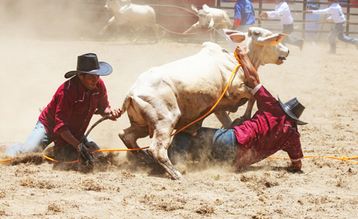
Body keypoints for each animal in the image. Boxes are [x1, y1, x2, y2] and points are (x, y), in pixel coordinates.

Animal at [119, 27, 288, 180]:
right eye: (273, 39)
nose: (287, 50)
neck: (237, 62)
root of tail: (131, 94)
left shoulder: (219, 107)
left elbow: (228, 122)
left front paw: (236, 122)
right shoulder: (236, 89)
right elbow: (253, 95)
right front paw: (244, 116)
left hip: (142, 124)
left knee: (127, 135)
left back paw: (143, 158)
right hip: (165, 120)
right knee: (156, 149)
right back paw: (176, 174)